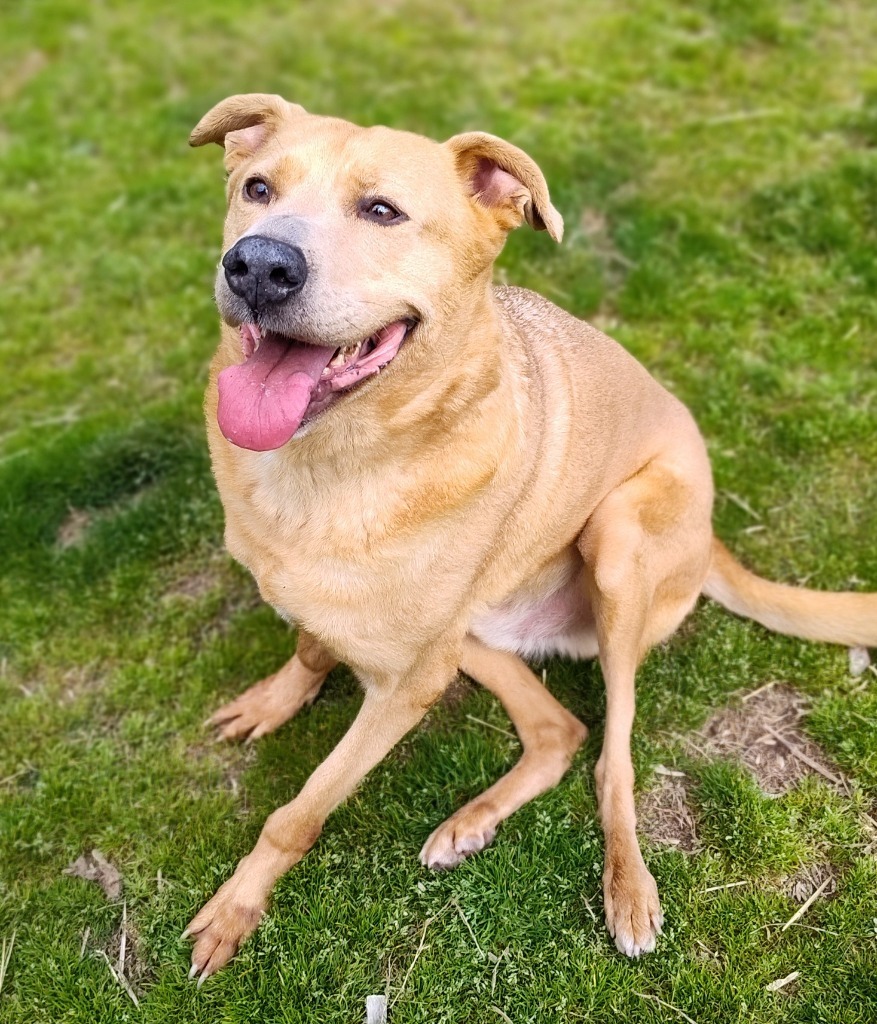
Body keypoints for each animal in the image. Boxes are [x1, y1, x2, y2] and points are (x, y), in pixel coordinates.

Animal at [181, 96, 872, 983]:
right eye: (257, 188)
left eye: (382, 211)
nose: (257, 266)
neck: (329, 466)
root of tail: (713, 539)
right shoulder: (365, 626)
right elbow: (308, 645)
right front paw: (276, 698)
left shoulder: (406, 683)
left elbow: (297, 812)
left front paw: (238, 908)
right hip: (475, 632)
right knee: (556, 732)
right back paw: (469, 822)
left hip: (614, 541)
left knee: (610, 756)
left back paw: (626, 888)